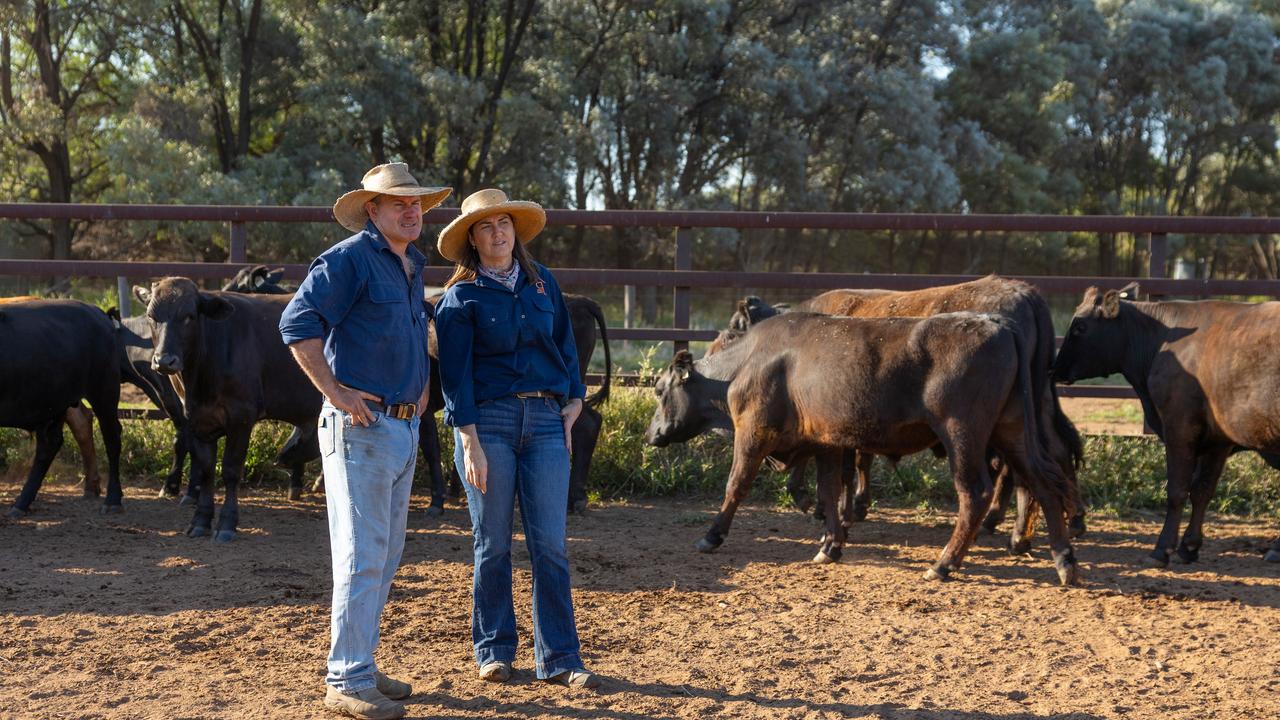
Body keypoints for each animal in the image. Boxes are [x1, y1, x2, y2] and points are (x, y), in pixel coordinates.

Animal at [1, 300, 124, 517]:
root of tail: (97, 313)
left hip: (104, 393)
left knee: (112, 439)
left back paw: (113, 500)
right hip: (56, 404)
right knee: (50, 444)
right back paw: (21, 503)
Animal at [134, 277, 322, 541]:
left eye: (189, 316)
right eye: (152, 316)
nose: (164, 361)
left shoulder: (241, 417)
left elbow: (231, 471)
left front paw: (227, 523)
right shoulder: (197, 420)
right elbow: (206, 470)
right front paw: (200, 521)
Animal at [646, 311, 1080, 585]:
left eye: (660, 390)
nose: (651, 435)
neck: (748, 364)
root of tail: (996, 323)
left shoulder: (752, 433)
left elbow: (735, 486)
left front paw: (711, 536)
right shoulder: (826, 443)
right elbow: (828, 490)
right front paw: (830, 545)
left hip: (963, 433)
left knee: (974, 493)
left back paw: (944, 564)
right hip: (1013, 428)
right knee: (1044, 482)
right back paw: (1064, 561)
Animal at [728, 275, 1086, 547]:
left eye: (734, 330)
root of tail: (1024, 293)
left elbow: (845, 467)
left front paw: (834, 511)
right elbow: (856, 461)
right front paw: (846, 508)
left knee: (1015, 470)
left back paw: (1011, 531)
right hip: (1034, 408)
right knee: (1049, 456)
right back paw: (1058, 524)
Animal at [1053, 285, 1280, 566]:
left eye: (1080, 327)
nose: (1054, 369)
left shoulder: (1178, 428)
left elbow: (1177, 491)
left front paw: (1162, 549)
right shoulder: (1217, 440)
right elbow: (1202, 490)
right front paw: (1189, 546)